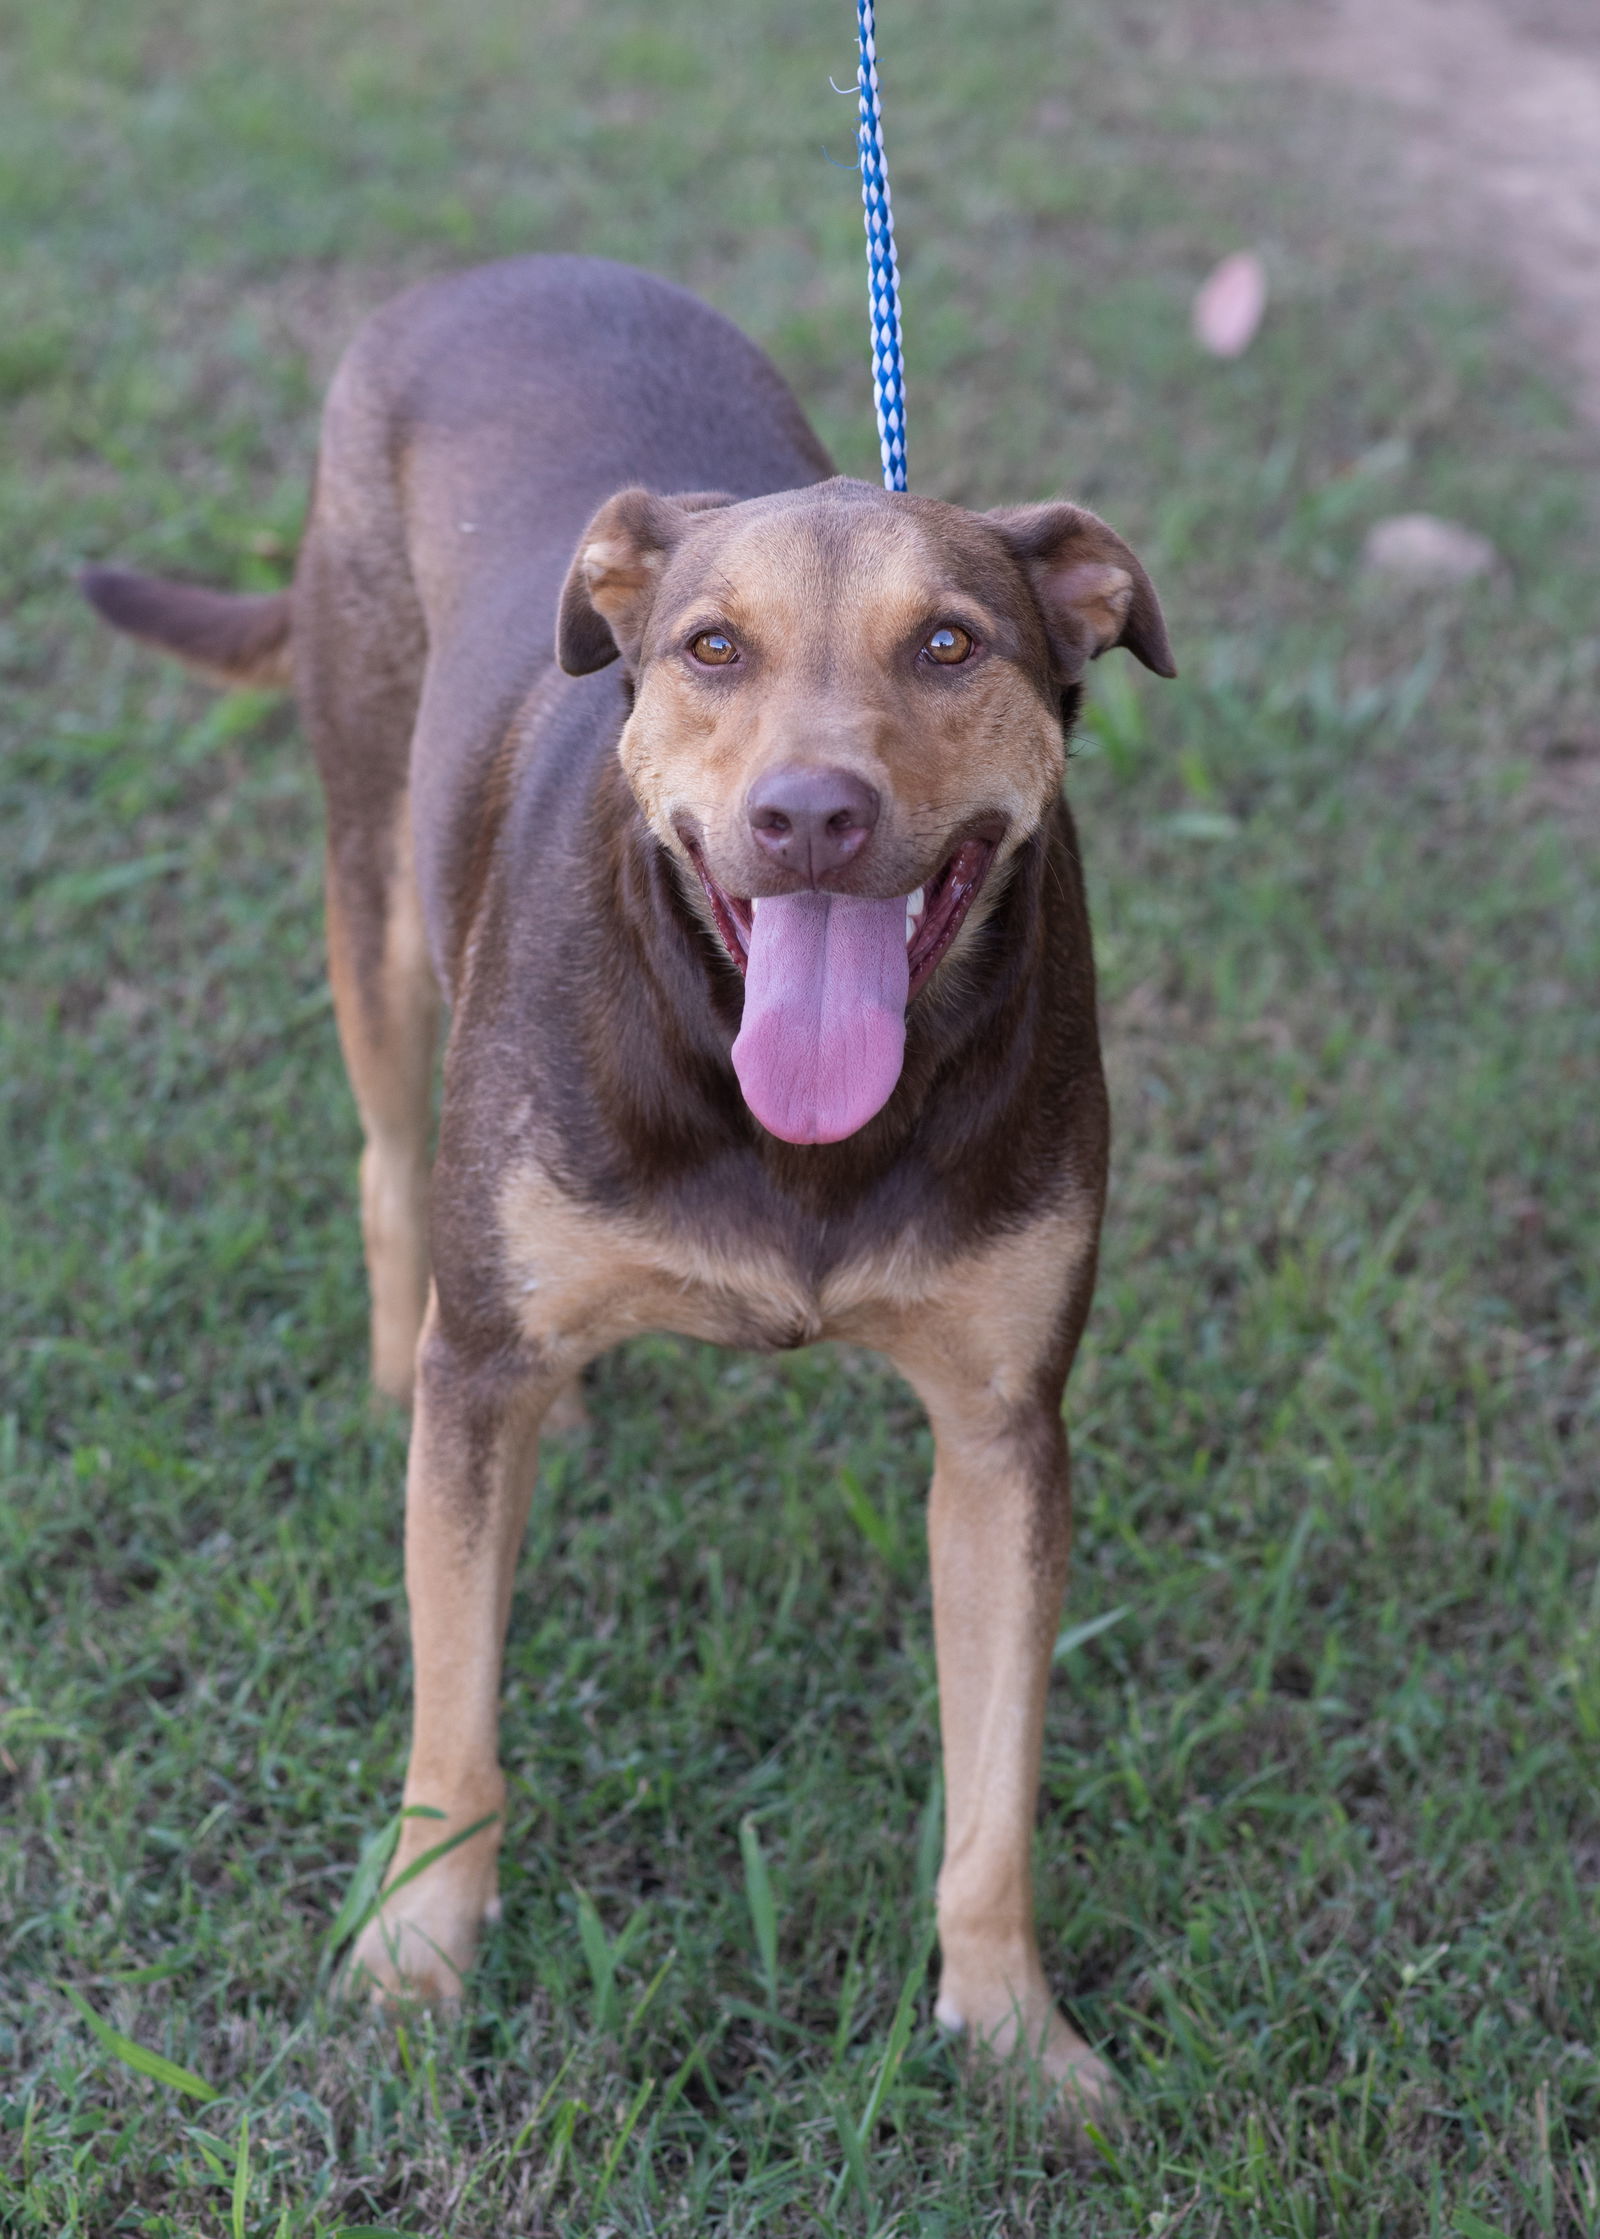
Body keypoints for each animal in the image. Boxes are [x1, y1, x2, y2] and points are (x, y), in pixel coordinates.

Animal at [84, 254, 1172, 2122]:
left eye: (950, 643)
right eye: (710, 648)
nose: (811, 816)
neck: (782, 1103)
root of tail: (502, 270)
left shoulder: (1003, 1434)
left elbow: (996, 1793)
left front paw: (1016, 2033)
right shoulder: (490, 1359)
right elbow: (452, 1720)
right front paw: (419, 1952)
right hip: (374, 886)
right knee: (396, 1174)